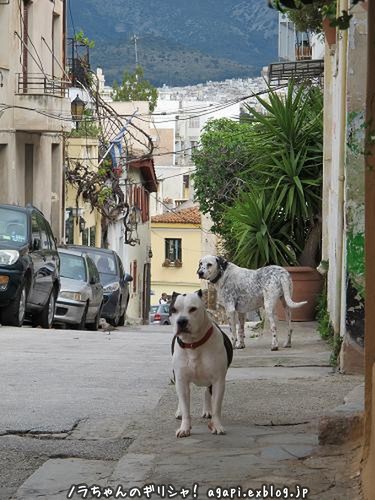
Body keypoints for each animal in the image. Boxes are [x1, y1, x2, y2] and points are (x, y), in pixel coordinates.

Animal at [170, 290, 232, 438]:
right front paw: (184, 428)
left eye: (193, 309)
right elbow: (185, 405)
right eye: (173, 310)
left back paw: (207, 410)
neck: (193, 344)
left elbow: (216, 407)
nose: (181, 321)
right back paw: (179, 411)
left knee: (207, 391)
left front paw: (217, 425)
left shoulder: (218, 380)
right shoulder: (181, 379)